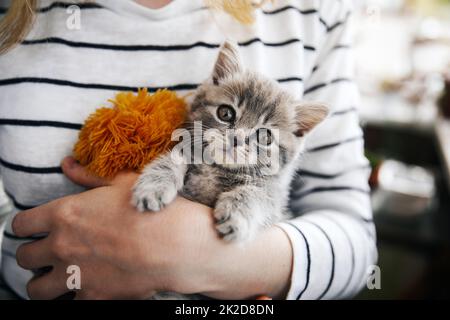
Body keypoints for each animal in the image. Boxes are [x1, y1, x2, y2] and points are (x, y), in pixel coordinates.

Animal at [130, 40, 326, 242]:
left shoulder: (275, 201)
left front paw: (237, 214)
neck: (216, 169)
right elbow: (169, 161)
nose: (236, 138)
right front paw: (153, 187)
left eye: (265, 137)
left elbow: (259, 195)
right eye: (225, 113)